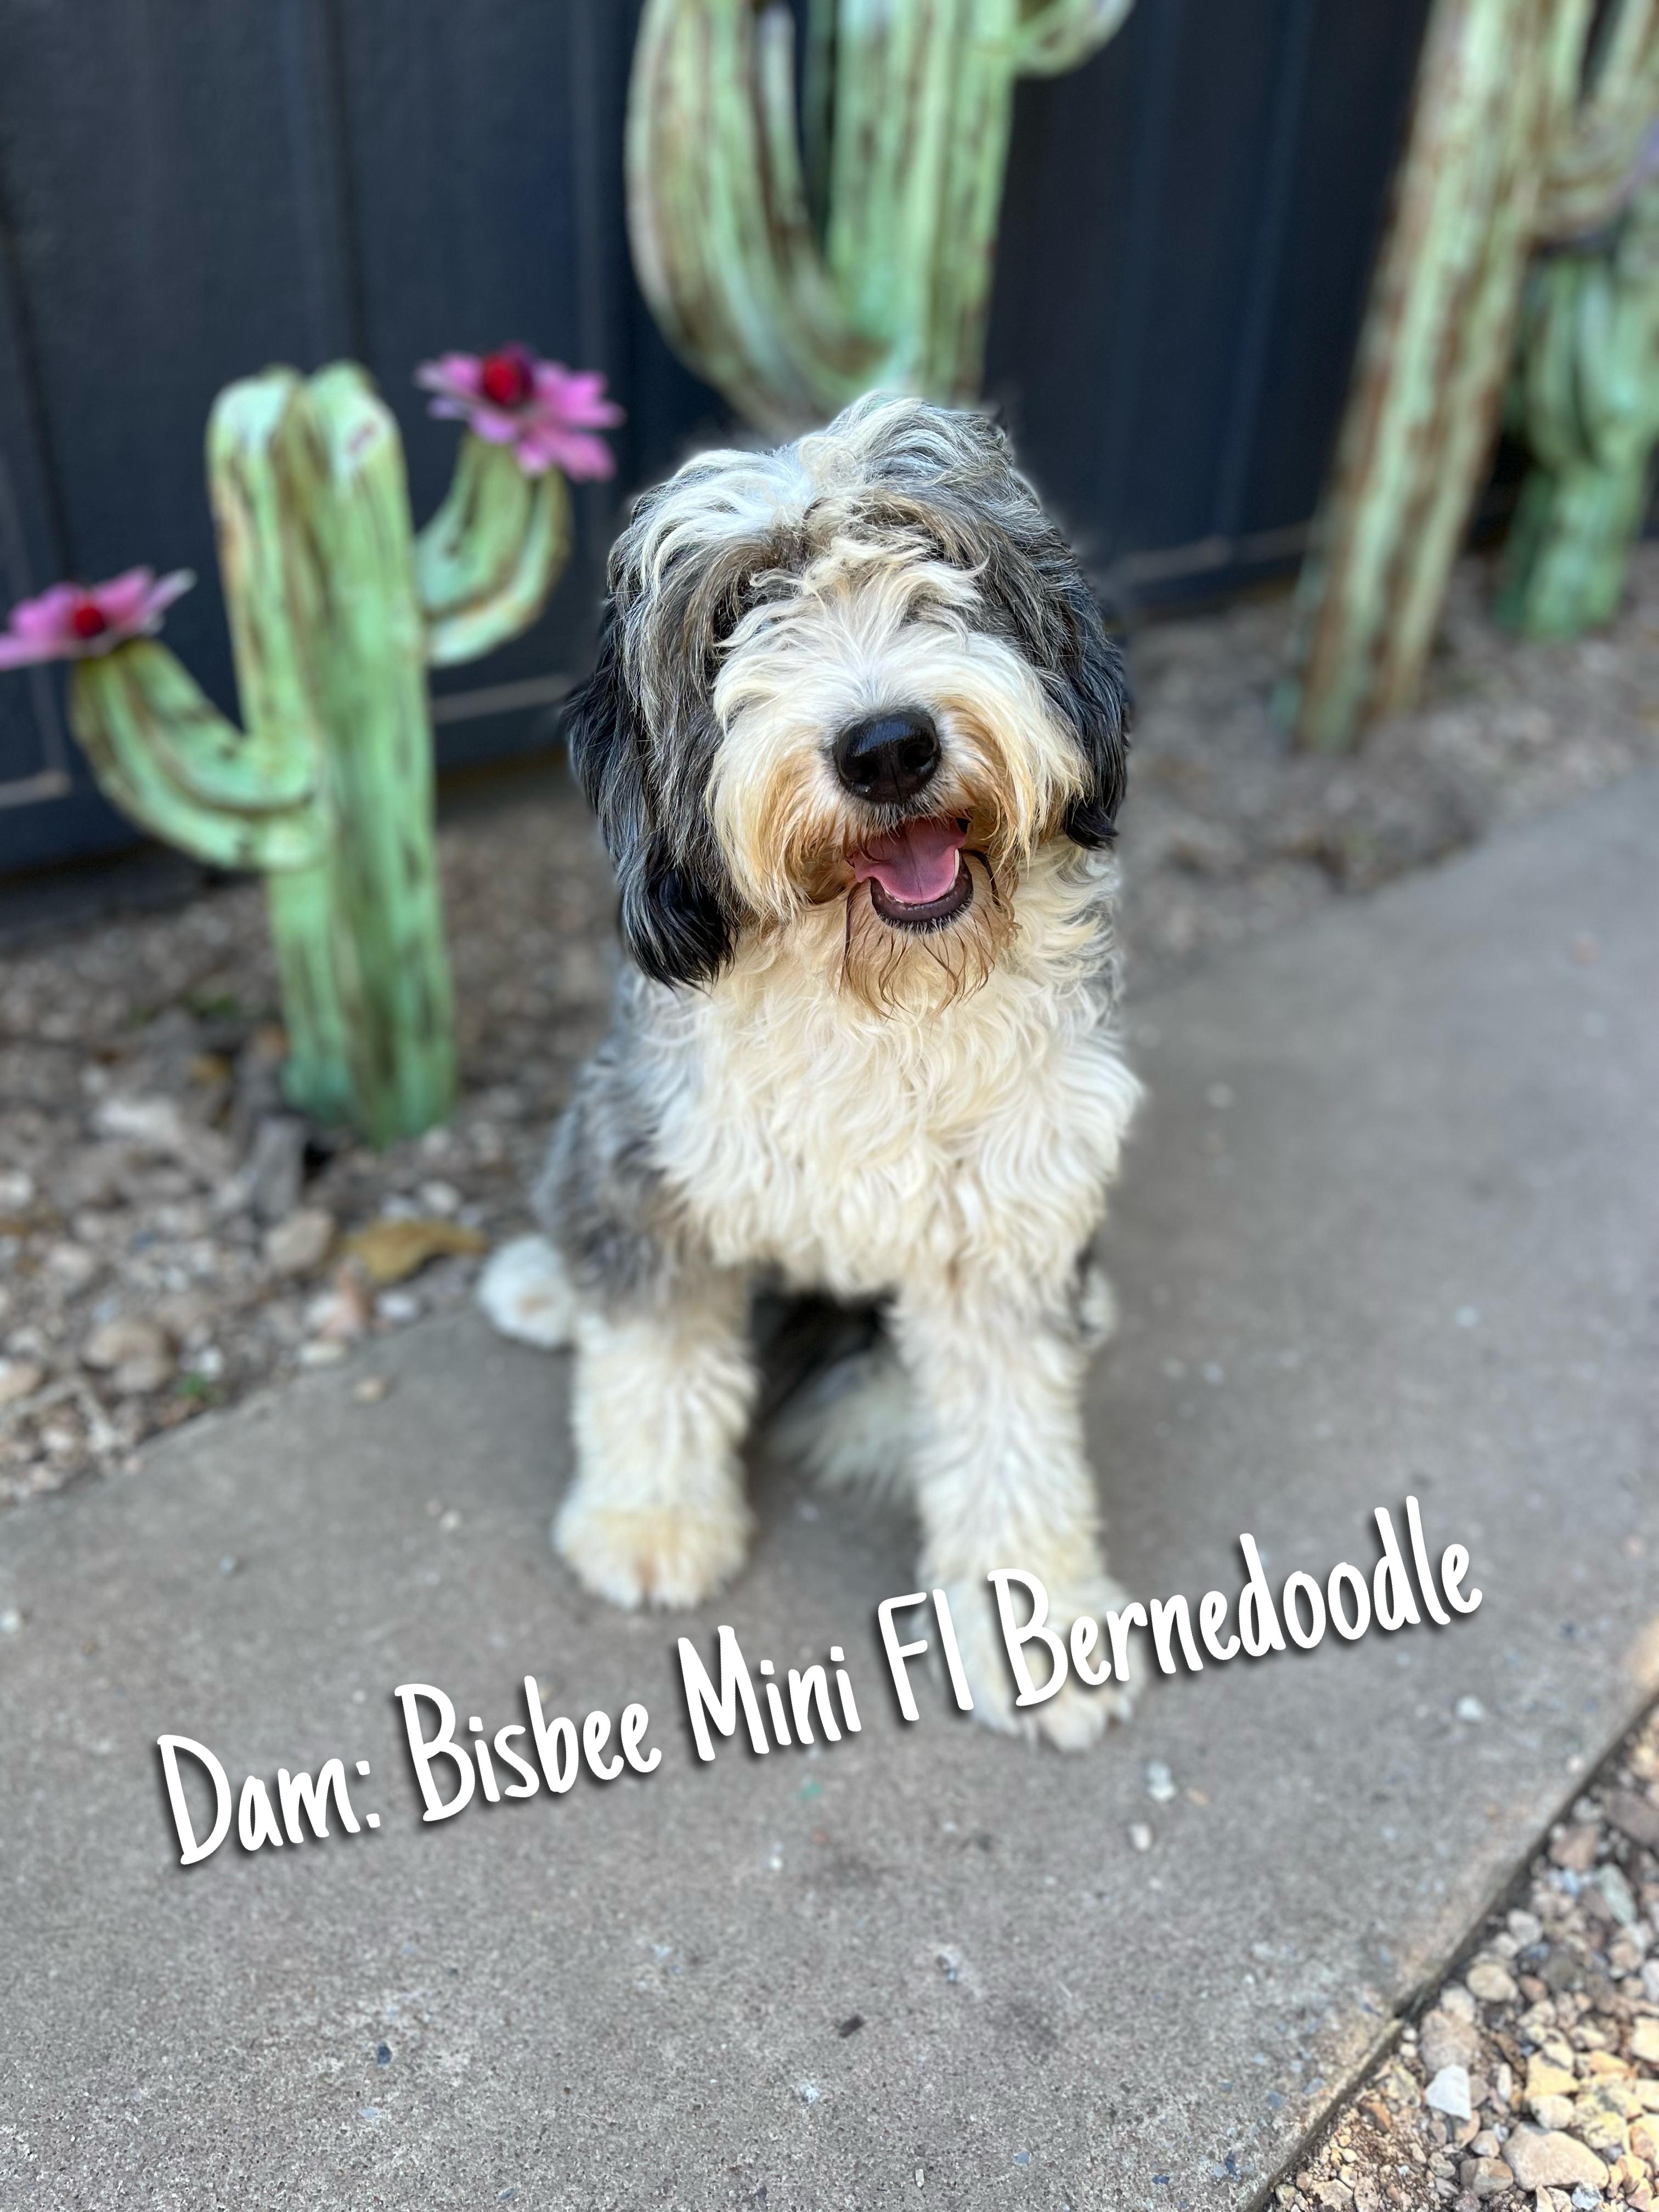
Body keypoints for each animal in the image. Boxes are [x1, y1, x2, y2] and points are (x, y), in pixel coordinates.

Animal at [479, 392, 1141, 1748]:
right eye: (740, 612)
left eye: (936, 567)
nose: (886, 747)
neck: (875, 991)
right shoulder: (656, 1160)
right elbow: (657, 1356)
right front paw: (651, 1521)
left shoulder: (1008, 1220)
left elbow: (1012, 1430)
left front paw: (1039, 1627)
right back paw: (546, 1282)